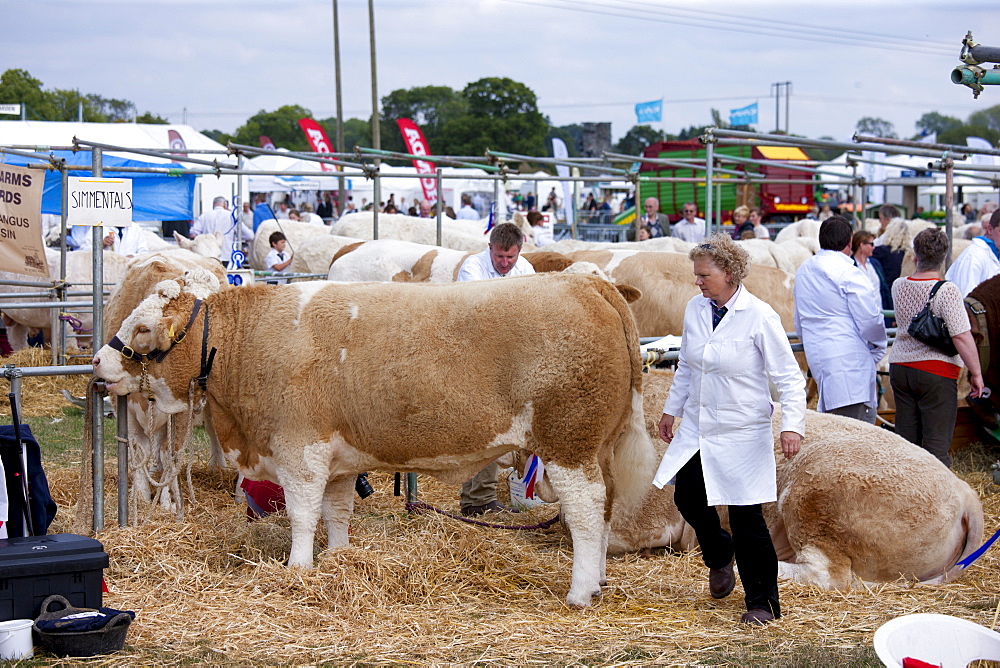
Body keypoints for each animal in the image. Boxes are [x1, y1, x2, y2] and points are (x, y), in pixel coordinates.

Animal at [92, 268, 656, 608]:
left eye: (142, 329)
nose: (97, 363)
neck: (249, 341)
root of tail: (586, 282)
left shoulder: (300, 450)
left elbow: (303, 514)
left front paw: (298, 568)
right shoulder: (338, 459)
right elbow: (338, 512)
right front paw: (339, 560)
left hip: (569, 443)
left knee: (586, 511)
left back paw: (580, 590)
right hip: (599, 446)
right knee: (606, 506)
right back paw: (599, 579)